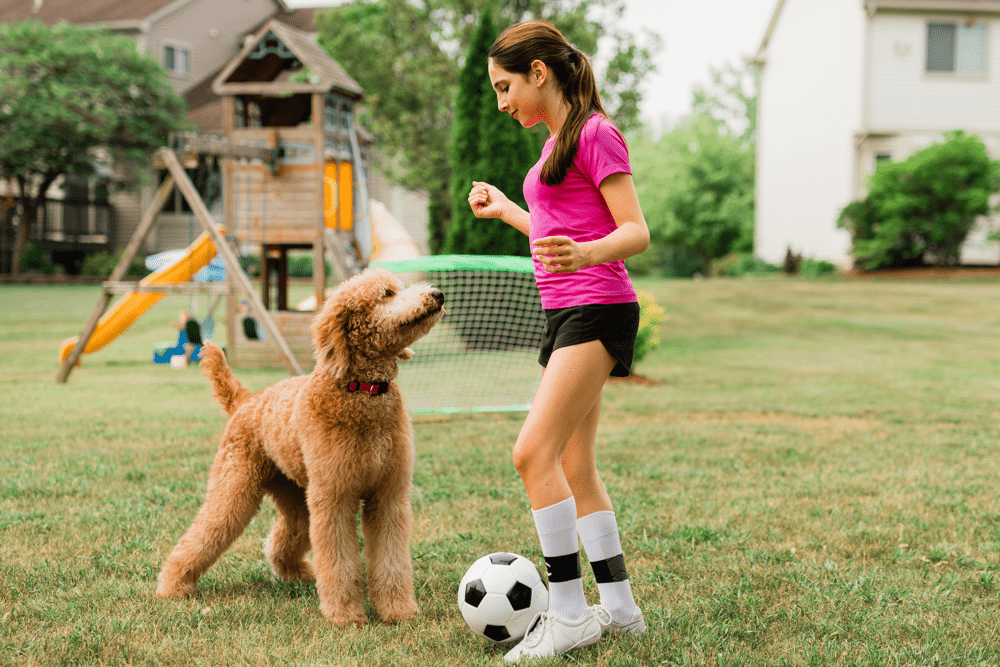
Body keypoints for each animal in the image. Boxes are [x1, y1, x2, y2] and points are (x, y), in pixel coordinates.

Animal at [157, 266, 446, 628]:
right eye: (387, 294)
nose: (438, 294)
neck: (361, 391)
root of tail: (245, 401)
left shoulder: (388, 497)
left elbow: (391, 560)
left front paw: (398, 611)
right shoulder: (335, 499)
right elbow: (340, 561)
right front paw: (345, 615)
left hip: (297, 498)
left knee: (281, 539)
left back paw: (299, 573)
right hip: (236, 486)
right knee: (203, 533)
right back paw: (173, 585)